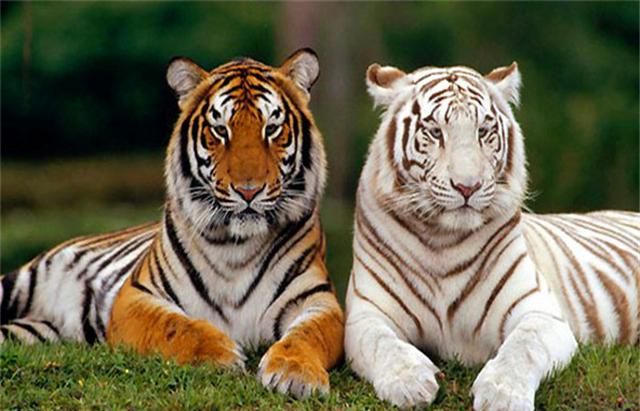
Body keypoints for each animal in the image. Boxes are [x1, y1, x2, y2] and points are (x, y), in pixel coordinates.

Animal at [0, 48, 344, 399]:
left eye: (272, 128)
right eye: (220, 130)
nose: (248, 191)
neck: (237, 245)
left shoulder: (318, 300)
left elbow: (308, 335)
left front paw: (296, 373)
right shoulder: (136, 296)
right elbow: (176, 326)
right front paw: (222, 354)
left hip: (36, 332)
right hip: (20, 281)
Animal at [344, 61, 639, 410]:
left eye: (483, 131)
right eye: (435, 132)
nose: (467, 186)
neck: (442, 240)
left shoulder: (540, 312)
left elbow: (522, 348)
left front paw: (502, 394)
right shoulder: (366, 314)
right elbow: (381, 344)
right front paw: (410, 382)